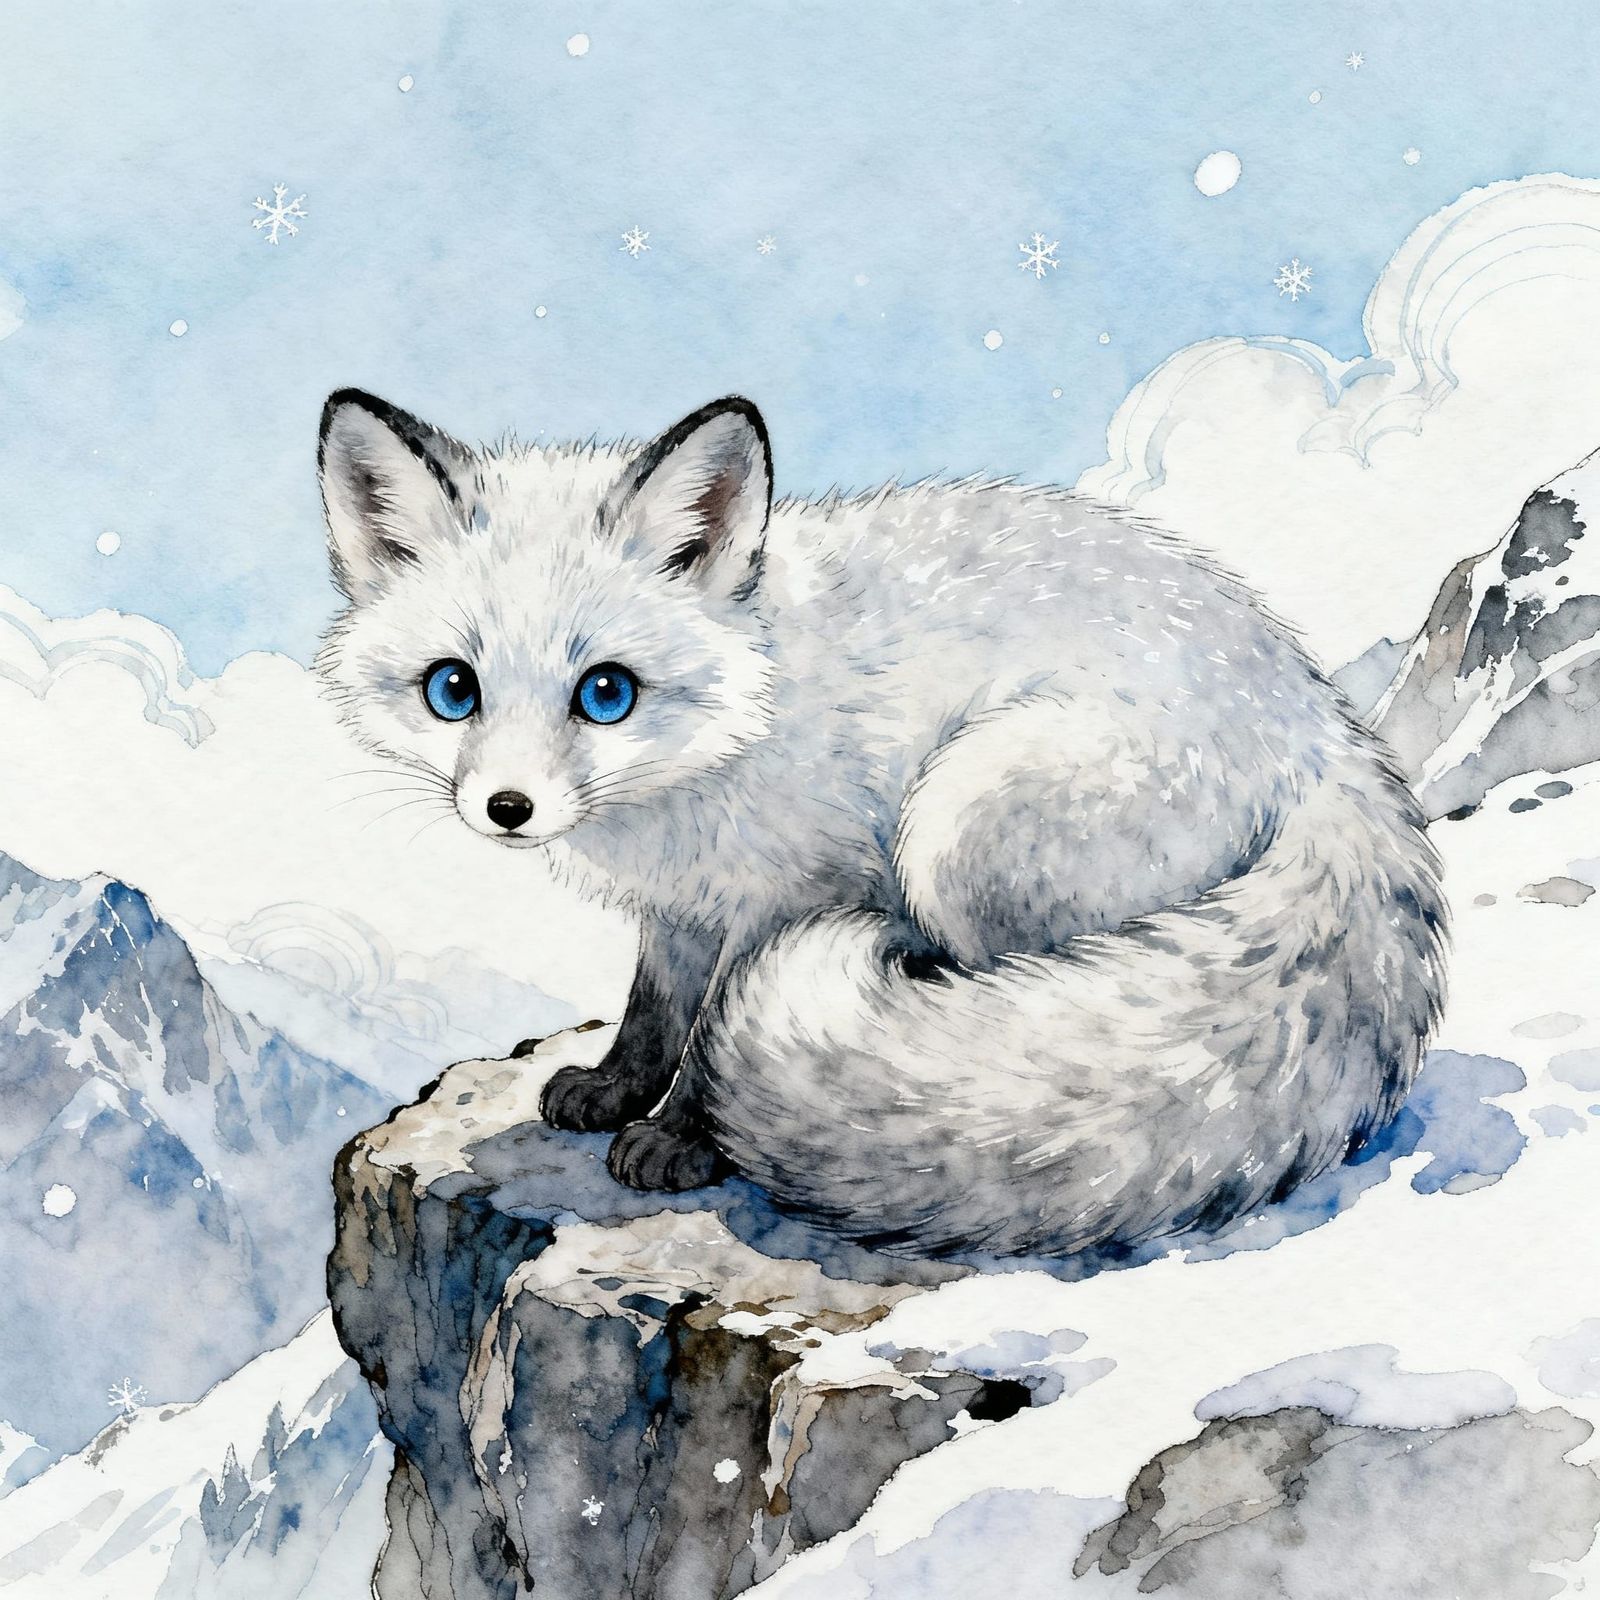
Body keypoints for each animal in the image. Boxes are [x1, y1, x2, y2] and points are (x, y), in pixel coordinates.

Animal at [315, 388, 1448, 1260]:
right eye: (453, 690)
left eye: (605, 693)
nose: (508, 809)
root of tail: (1320, 729)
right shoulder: (686, 901)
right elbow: (656, 1007)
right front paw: (614, 1087)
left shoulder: (793, 890)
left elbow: (712, 1032)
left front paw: (683, 1138)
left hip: (958, 819)